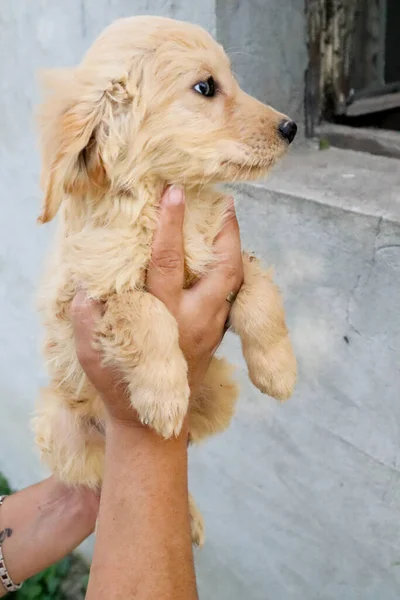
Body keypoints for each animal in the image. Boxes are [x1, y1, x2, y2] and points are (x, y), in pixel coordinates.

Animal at [33, 16, 296, 548]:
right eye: (205, 87)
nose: (291, 127)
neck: (166, 198)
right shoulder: (93, 292)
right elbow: (147, 311)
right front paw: (164, 395)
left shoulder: (230, 257)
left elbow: (261, 295)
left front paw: (278, 367)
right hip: (60, 429)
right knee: (101, 482)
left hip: (218, 389)